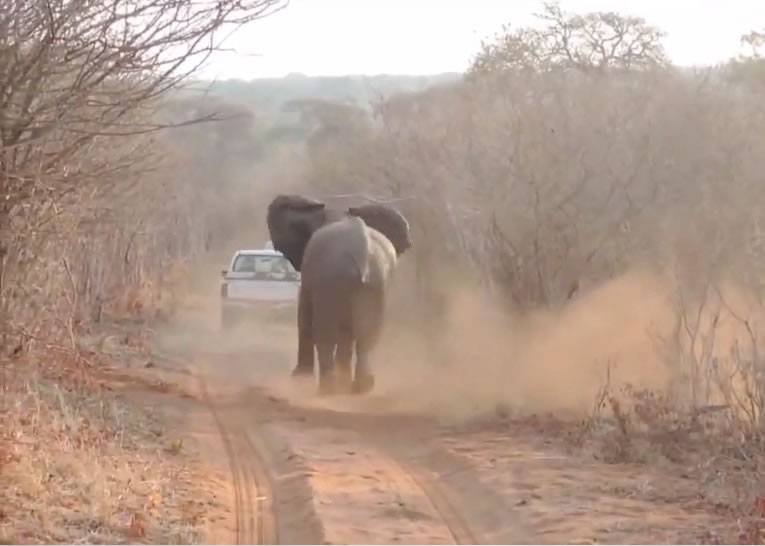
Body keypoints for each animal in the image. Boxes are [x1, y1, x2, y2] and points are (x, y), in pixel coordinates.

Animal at [268, 193, 412, 394]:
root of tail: (362, 250)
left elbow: (305, 314)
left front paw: (299, 379)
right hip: (376, 281)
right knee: (368, 335)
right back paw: (360, 387)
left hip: (333, 276)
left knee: (324, 332)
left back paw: (328, 388)